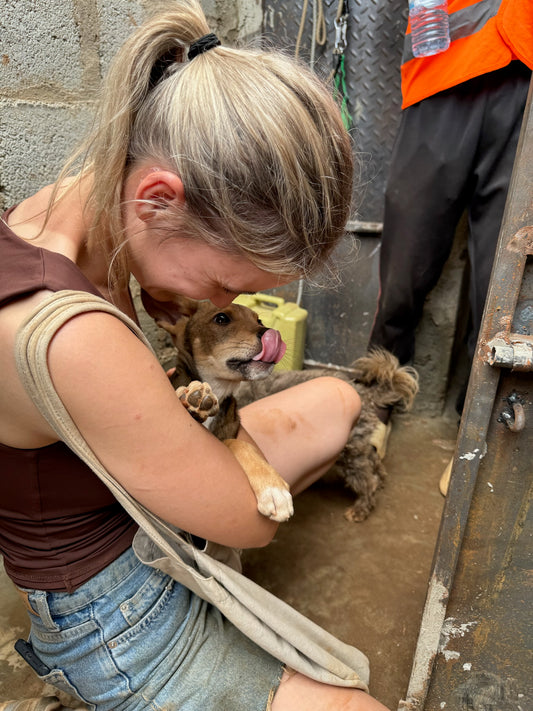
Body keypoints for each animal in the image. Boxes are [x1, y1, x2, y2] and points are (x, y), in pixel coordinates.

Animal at [158, 300, 294, 524]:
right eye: (221, 318)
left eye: (259, 320)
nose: (273, 334)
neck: (219, 389)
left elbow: (237, 442)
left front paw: (272, 486)